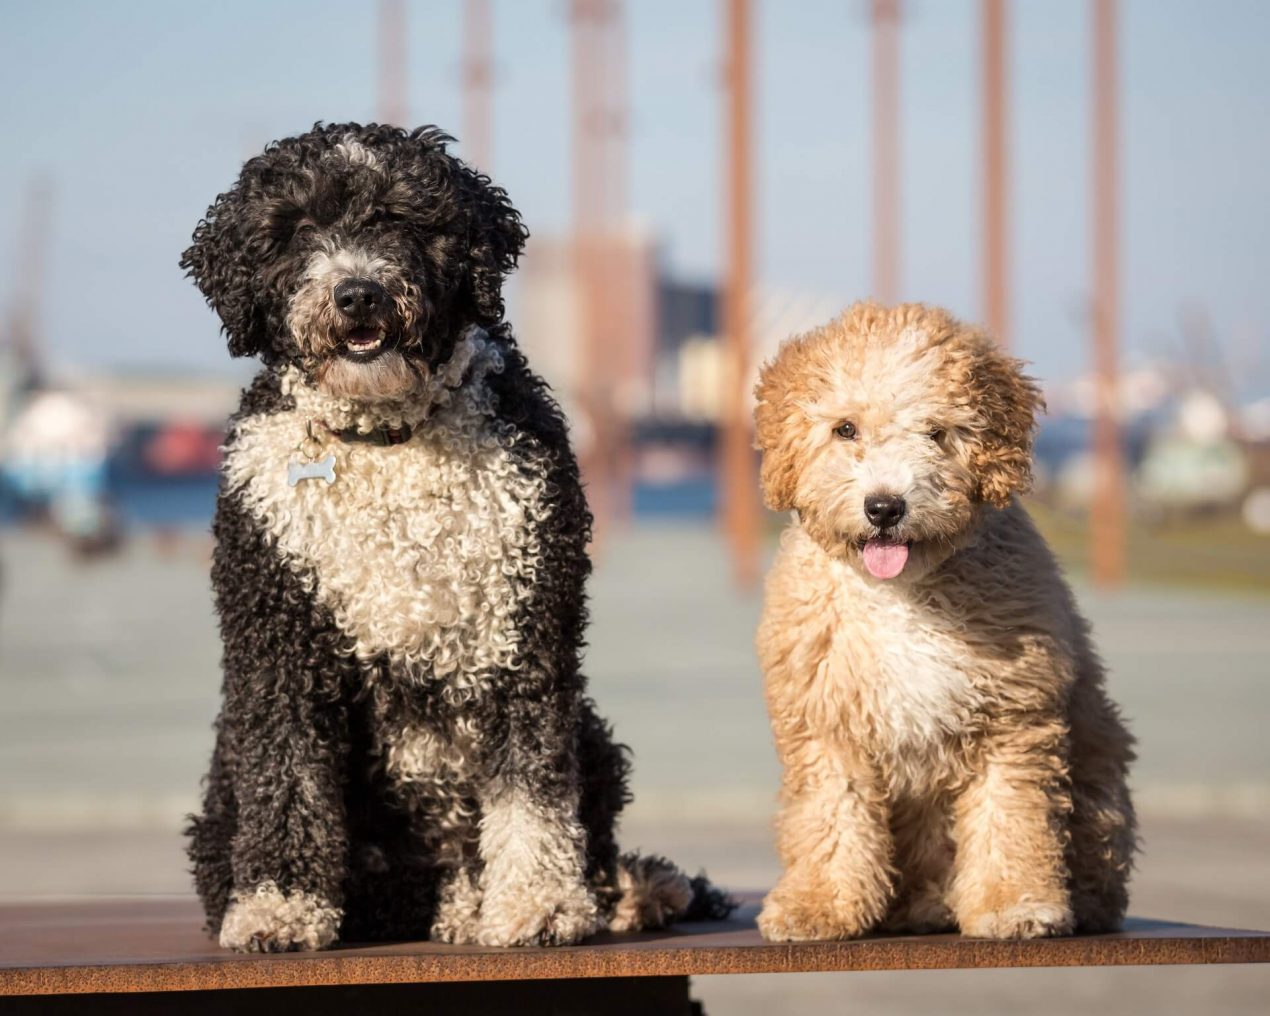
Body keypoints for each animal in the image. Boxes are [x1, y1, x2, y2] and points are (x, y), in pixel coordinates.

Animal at [182, 121, 731, 955]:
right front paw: (279, 905)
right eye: (296, 230)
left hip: (591, 731)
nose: (358, 292)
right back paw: (457, 898)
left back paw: (618, 891)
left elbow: (532, 781)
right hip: (228, 790)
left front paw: (540, 901)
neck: (389, 439)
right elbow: (287, 774)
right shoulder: (278, 639)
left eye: (403, 220)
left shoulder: (525, 628)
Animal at [746, 303, 1137, 944]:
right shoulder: (825, 722)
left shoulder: (1014, 721)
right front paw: (818, 906)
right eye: (845, 429)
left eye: (938, 433)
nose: (885, 506)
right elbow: (832, 816)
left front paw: (1014, 904)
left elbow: (1011, 817)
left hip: (1098, 772)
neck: (900, 593)